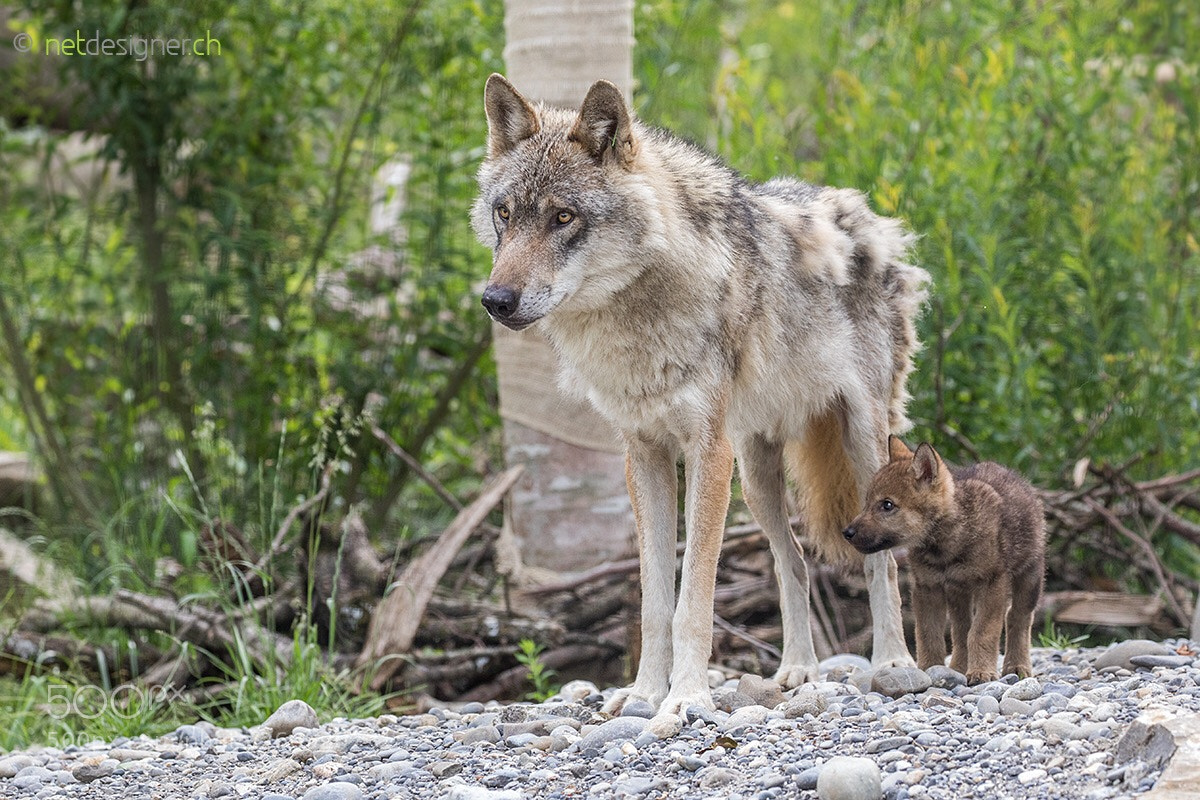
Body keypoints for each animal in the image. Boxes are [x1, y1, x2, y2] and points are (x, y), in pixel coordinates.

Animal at [472, 74, 930, 718]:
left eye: (563, 216)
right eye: (504, 214)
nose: (496, 300)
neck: (636, 318)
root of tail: (873, 222)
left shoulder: (707, 452)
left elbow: (693, 599)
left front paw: (686, 696)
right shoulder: (645, 455)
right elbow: (652, 601)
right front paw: (643, 694)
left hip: (862, 450)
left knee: (882, 563)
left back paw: (893, 662)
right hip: (758, 480)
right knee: (793, 564)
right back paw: (798, 671)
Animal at [842, 437, 1046, 683]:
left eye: (887, 505)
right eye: (867, 502)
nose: (847, 533)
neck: (944, 547)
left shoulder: (992, 583)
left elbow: (982, 632)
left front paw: (982, 672)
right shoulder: (927, 587)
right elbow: (928, 634)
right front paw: (929, 668)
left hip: (1029, 578)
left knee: (1017, 618)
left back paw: (1017, 666)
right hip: (959, 593)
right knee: (961, 630)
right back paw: (958, 667)